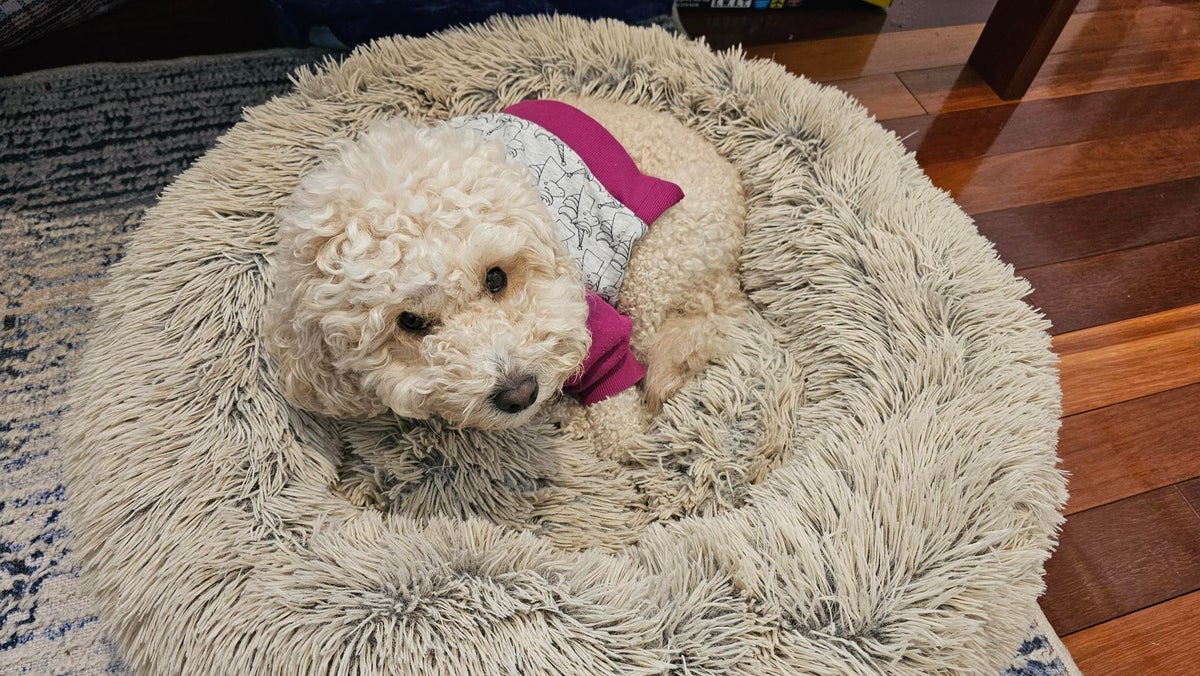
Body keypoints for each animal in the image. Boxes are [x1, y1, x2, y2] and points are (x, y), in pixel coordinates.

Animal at [267, 97, 744, 432]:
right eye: (410, 322)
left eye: (496, 278)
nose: (520, 393)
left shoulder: (588, 315)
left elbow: (615, 406)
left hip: (654, 267)